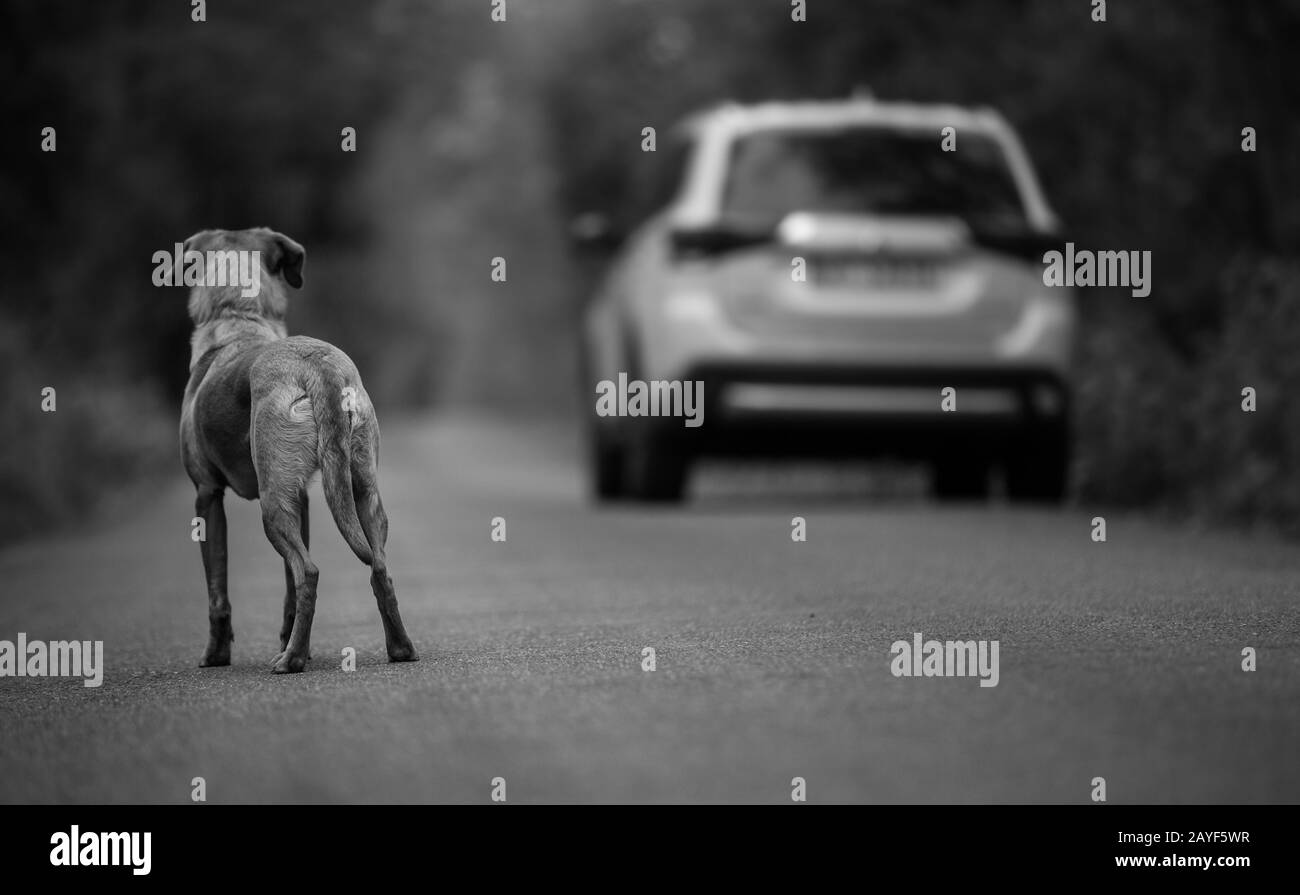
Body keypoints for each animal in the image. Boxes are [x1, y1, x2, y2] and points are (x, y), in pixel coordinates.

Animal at [179, 227, 416, 676]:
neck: (240, 319)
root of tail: (318, 364)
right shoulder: (302, 497)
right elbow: (286, 591)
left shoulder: (206, 496)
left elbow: (218, 590)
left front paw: (215, 656)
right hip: (362, 491)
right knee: (380, 568)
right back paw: (398, 648)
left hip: (272, 504)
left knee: (308, 571)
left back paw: (290, 660)